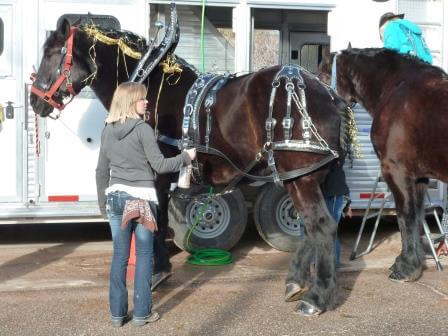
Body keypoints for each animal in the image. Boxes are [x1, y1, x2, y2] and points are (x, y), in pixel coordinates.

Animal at [29, 14, 350, 316]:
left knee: (322, 226)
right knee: (309, 228)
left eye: (52, 53)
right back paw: (295, 282)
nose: (35, 100)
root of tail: (330, 95)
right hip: (300, 177)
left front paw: (157, 273)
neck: (148, 85)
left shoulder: (155, 176)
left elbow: (155, 223)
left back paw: (315, 298)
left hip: (302, 178)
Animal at [318, 47, 448, 282]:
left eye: (322, 76)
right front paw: (412, 263)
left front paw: (405, 268)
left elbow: (405, 217)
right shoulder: (419, 178)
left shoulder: (397, 171)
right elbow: (416, 217)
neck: (397, 87)